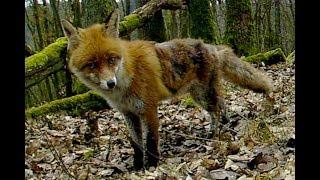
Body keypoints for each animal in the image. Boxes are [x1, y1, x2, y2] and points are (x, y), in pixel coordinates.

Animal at [61, 10, 274, 170]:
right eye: (92, 65)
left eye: (112, 59)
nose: (110, 83)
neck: (126, 79)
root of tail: (210, 45)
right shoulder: (128, 113)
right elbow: (136, 144)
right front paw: (137, 166)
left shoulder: (148, 108)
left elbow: (150, 141)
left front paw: (152, 165)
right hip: (199, 95)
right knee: (221, 104)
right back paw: (225, 123)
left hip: (203, 95)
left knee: (216, 109)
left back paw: (214, 133)